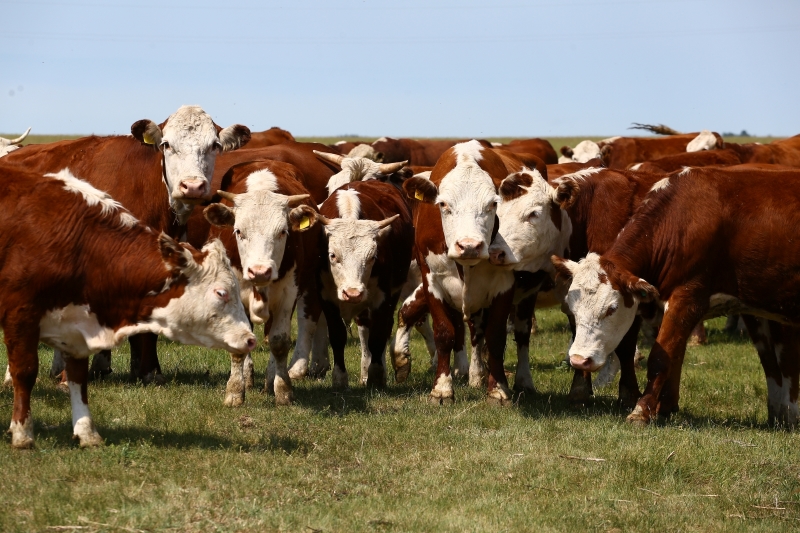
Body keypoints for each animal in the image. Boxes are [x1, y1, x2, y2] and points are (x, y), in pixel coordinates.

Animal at [0, 166, 255, 448]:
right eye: (221, 293)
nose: (250, 339)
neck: (80, 245)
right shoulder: (20, 315)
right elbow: (25, 372)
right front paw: (22, 433)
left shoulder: (76, 324)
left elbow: (78, 377)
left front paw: (87, 432)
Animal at [197, 160, 322, 406]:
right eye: (238, 231)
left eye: (283, 232)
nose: (260, 271)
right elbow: (239, 344)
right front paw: (235, 391)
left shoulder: (288, 293)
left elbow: (279, 342)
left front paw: (283, 390)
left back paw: (270, 378)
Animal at [288, 181, 412, 384]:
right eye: (332, 255)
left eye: (372, 257)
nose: (353, 293)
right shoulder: (326, 297)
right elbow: (337, 335)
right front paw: (340, 378)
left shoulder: (382, 297)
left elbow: (378, 336)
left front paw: (376, 376)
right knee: (364, 330)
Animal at [398, 140, 512, 404]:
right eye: (443, 204)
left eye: (493, 204)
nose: (469, 245)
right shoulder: (432, 282)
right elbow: (444, 333)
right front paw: (442, 388)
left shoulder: (504, 284)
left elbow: (495, 336)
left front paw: (498, 389)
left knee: (478, 334)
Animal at [552, 168, 800, 426]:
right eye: (572, 309)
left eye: (611, 308)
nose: (579, 360)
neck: (681, 222)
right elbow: (674, 355)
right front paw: (664, 406)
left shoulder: (687, 297)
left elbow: (661, 358)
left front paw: (641, 410)